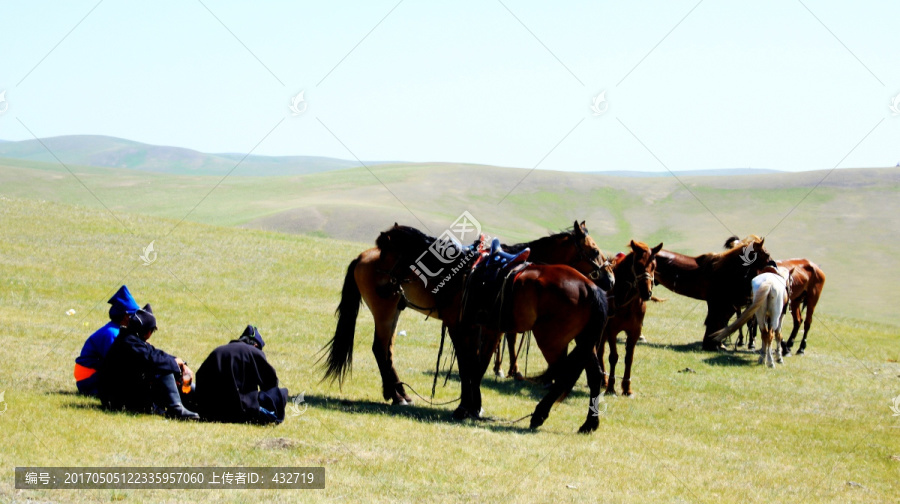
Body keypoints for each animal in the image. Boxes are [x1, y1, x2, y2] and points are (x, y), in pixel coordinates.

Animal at [322, 220, 612, 406]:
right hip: (385, 310)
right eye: (595, 251)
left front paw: (473, 402)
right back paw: (398, 395)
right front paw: (471, 403)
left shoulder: (482, 328)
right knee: (381, 349)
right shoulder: (469, 326)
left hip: (393, 310)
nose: (610, 280)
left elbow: (475, 363)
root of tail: (361, 257)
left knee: (385, 350)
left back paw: (397, 394)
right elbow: (470, 363)